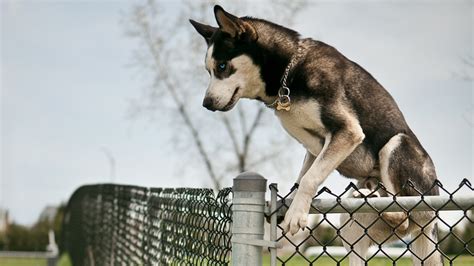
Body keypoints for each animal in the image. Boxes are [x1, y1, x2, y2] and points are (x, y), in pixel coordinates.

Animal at [191, 5, 442, 264]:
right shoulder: (314, 148)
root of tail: (430, 221)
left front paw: (295, 215)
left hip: (397, 146)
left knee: (401, 215)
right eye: (208, 70)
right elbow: (302, 176)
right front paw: (288, 205)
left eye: (222, 67)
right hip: (351, 225)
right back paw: (367, 195)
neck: (289, 73)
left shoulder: (347, 131)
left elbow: (309, 179)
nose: (206, 103)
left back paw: (370, 196)